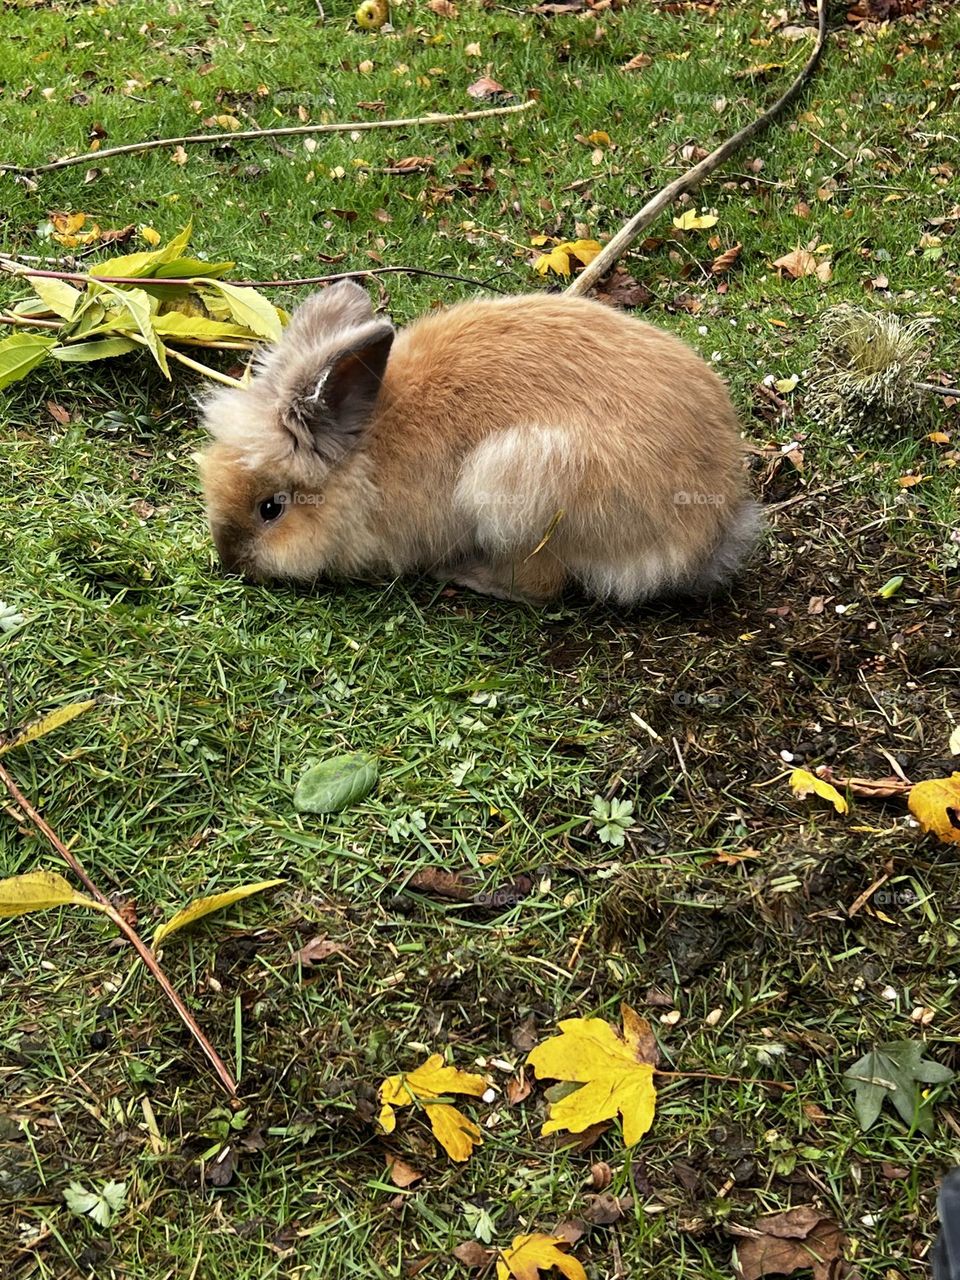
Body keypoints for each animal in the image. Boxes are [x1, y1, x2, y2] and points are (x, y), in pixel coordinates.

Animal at [197, 281, 761, 605]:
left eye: (271, 509)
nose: (231, 562)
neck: (364, 454)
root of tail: (714, 528)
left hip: (518, 486)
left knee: (543, 588)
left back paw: (464, 573)